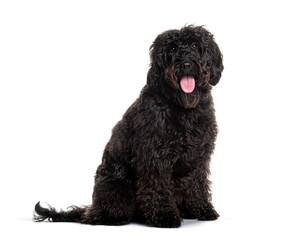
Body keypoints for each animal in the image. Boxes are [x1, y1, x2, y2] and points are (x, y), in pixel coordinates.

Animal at [34, 25, 224, 228]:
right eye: (172, 49)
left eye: (195, 45)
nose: (186, 64)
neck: (183, 108)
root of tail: (92, 209)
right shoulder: (155, 157)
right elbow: (158, 187)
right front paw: (164, 215)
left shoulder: (199, 156)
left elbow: (197, 184)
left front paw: (202, 209)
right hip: (118, 188)